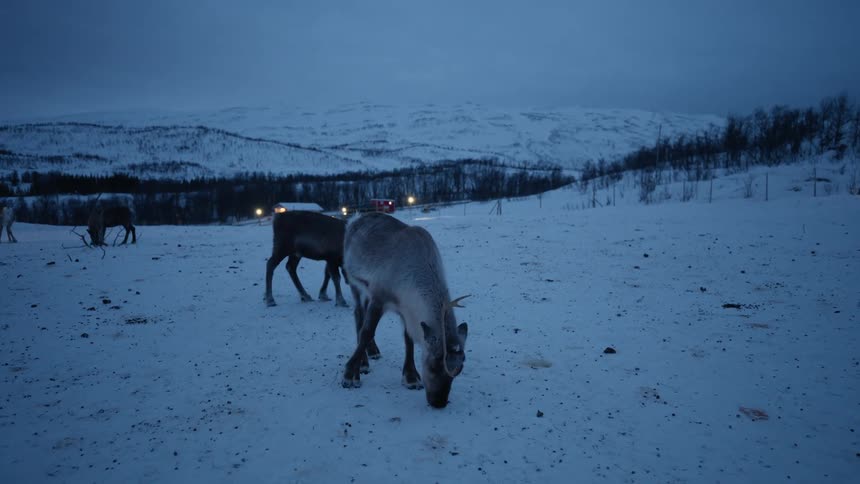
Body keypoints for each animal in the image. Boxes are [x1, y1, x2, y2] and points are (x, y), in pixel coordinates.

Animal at [341, 212, 469, 409]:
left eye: (459, 368)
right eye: (433, 365)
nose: (439, 402)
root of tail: (356, 219)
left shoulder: (406, 310)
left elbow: (408, 340)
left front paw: (410, 377)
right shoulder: (379, 297)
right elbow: (367, 332)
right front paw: (349, 375)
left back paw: (372, 352)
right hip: (356, 284)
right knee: (358, 317)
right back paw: (363, 363)